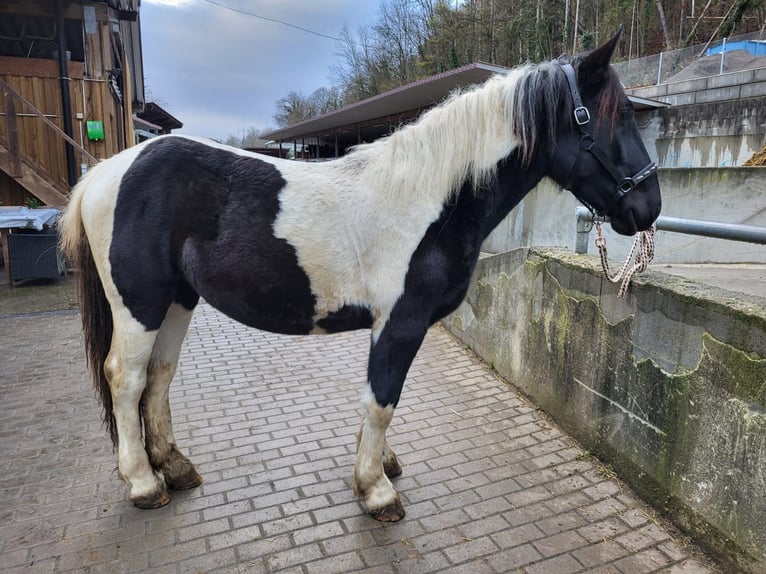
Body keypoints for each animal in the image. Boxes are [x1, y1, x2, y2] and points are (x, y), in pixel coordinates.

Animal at [60, 31, 660, 528]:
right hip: (139, 304)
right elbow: (382, 400)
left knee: (158, 377)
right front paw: (375, 490)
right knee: (126, 378)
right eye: (618, 117)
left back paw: (176, 466)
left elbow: (379, 402)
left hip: (178, 301)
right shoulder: (400, 323)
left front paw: (380, 464)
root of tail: (105, 174)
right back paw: (143, 483)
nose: (649, 208)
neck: (432, 200)